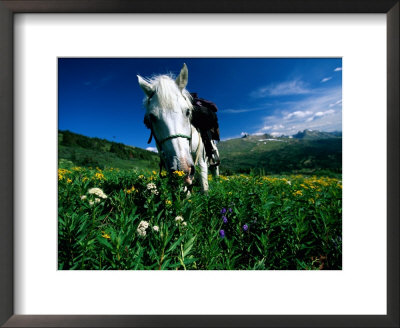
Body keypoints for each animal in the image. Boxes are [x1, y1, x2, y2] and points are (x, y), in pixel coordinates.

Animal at [137, 63, 219, 193]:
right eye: (152, 117)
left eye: (188, 112)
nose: (183, 169)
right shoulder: (168, 163)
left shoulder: (202, 160)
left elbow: (204, 186)